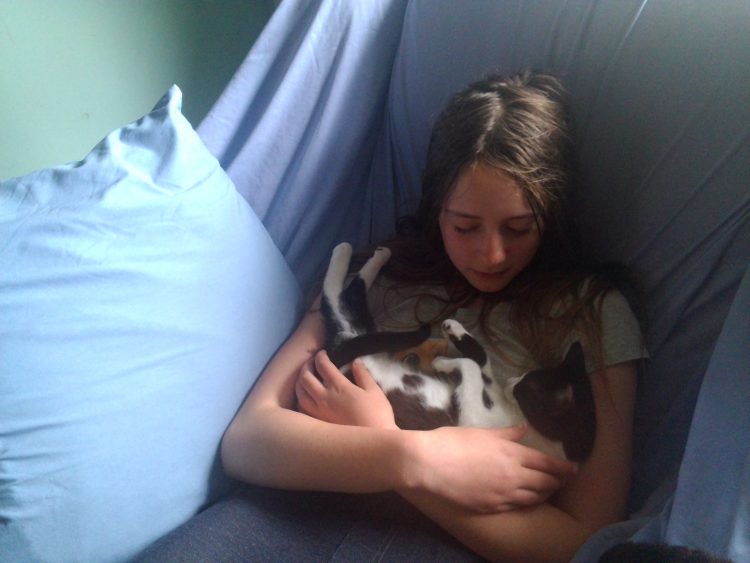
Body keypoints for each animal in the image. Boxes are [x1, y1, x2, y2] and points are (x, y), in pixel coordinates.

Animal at [324, 243, 600, 462]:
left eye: (526, 386)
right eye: (527, 376)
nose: (512, 381)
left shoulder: (473, 421)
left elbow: (470, 365)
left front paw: (441, 361)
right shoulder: (488, 384)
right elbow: (480, 358)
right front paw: (454, 330)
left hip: (360, 340)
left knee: (342, 304)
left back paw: (351, 251)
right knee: (343, 299)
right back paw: (362, 253)